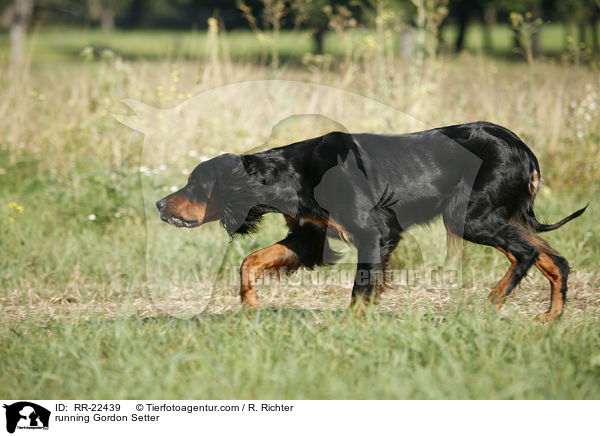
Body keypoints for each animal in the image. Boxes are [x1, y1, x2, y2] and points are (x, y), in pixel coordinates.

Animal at [155, 122, 584, 320]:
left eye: (195, 184)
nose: (159, 204)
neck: (295, 173)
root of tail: (523, 148)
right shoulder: (311, 238)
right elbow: (250, 262)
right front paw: (249, 303)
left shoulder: (374, 233)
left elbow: (360, 290)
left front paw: (350, 327)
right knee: (555, 261)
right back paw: (549, 320)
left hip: (470, 218)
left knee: (525, 254)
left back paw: (494, 301)